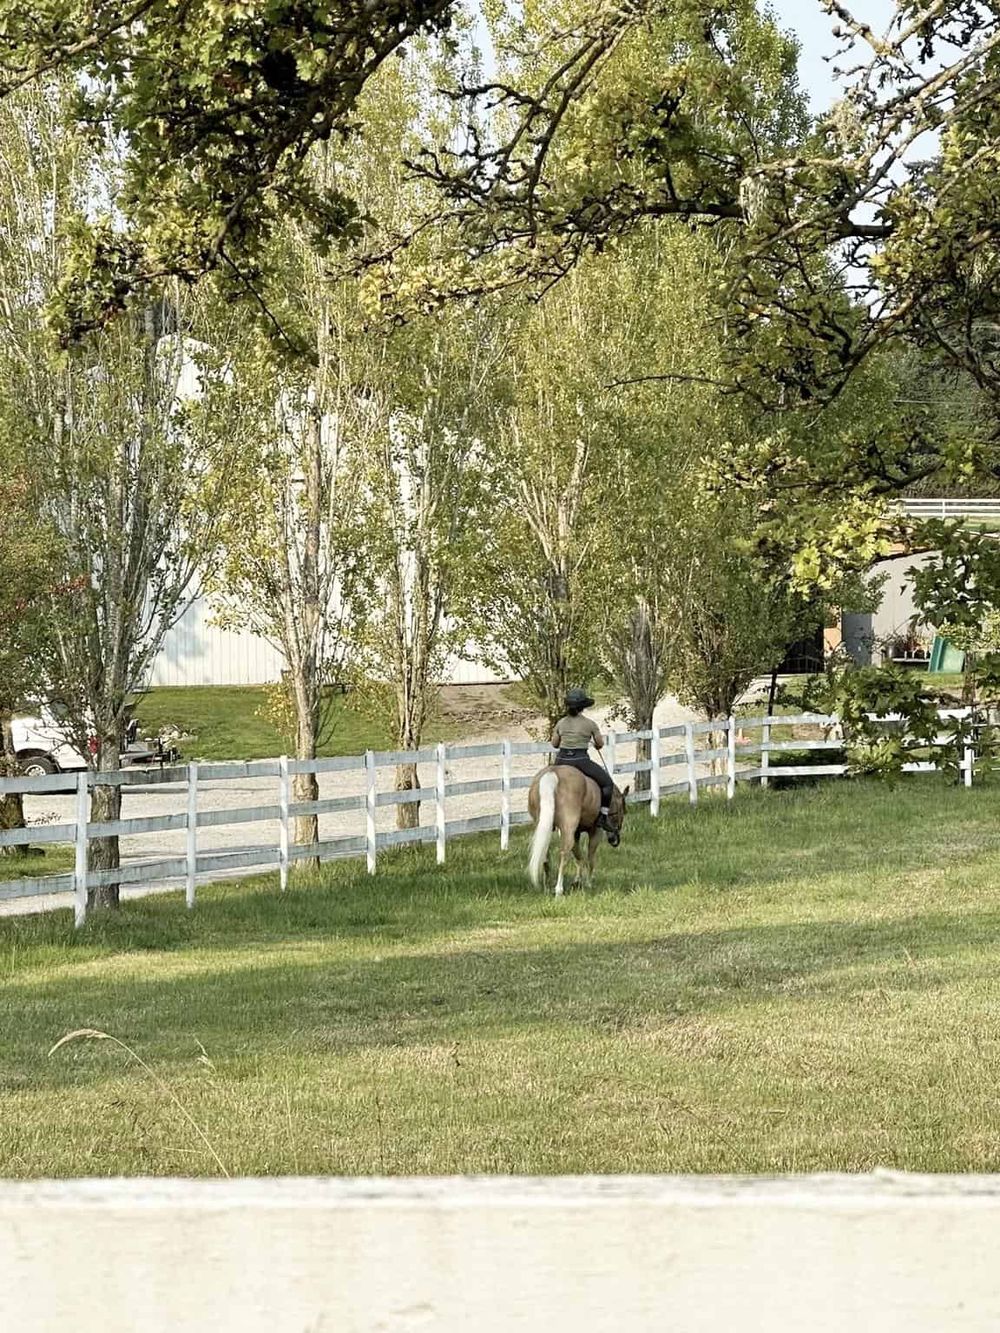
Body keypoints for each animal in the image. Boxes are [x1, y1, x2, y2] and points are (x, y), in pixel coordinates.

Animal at [527, 765, 629, 895]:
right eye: (623, 811)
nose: (614, 840)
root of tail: (552, 773)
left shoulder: (575, 834)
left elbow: (579, 857)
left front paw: (577, 881)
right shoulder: (595, 832)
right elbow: (590, 858)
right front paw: (588, 883)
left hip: (544, 827)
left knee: (546, 854)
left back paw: (547, 887)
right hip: (568, 829)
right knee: (564, 854)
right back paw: (559, 889)